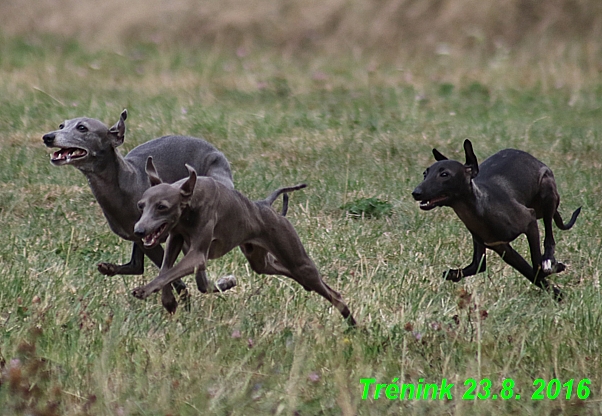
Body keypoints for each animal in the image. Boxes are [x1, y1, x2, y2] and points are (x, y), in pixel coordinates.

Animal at [410, 140, 580, 300]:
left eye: (444, 174)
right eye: (425, 173)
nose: (415, 193)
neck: (481, 209)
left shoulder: (529, 221)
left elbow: (537, 265)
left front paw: (553, 268)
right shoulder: (501, 248)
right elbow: (527, 273)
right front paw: (558, 295)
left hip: (547, 194)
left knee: (549, 235)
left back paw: (549, 260)